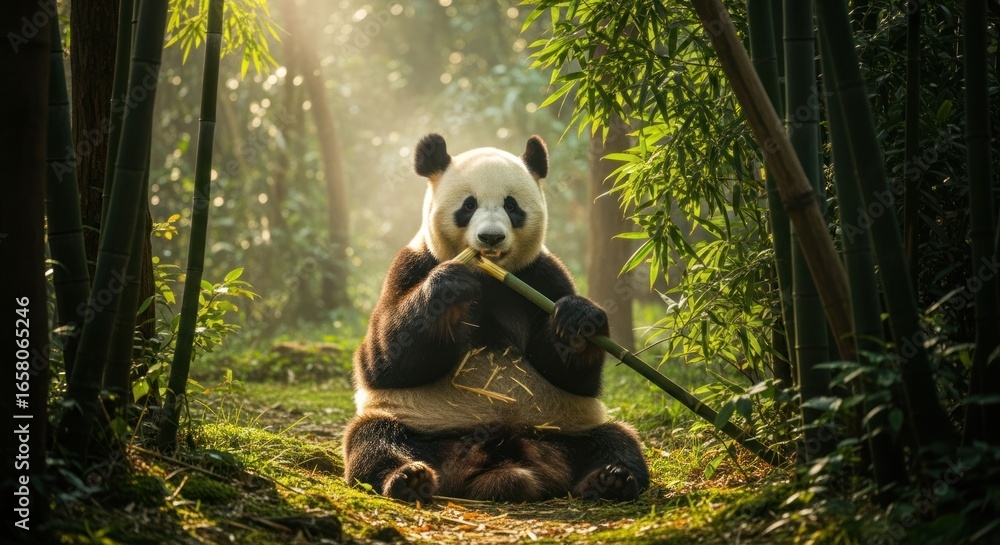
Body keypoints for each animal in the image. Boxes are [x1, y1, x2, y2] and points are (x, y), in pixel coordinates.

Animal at [343, 133, 649, 503]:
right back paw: (408, 478)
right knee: (375, 437)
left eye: (511, 206)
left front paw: (578, 318)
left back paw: (610, 479)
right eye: (468, 205)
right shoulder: (412, 264)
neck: (489, 276)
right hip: (421, 426)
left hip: (564, 429)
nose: (491, 237)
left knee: (616, 439)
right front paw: (449, 289)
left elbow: (571, 376)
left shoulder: (543, 275)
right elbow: (382, 361)